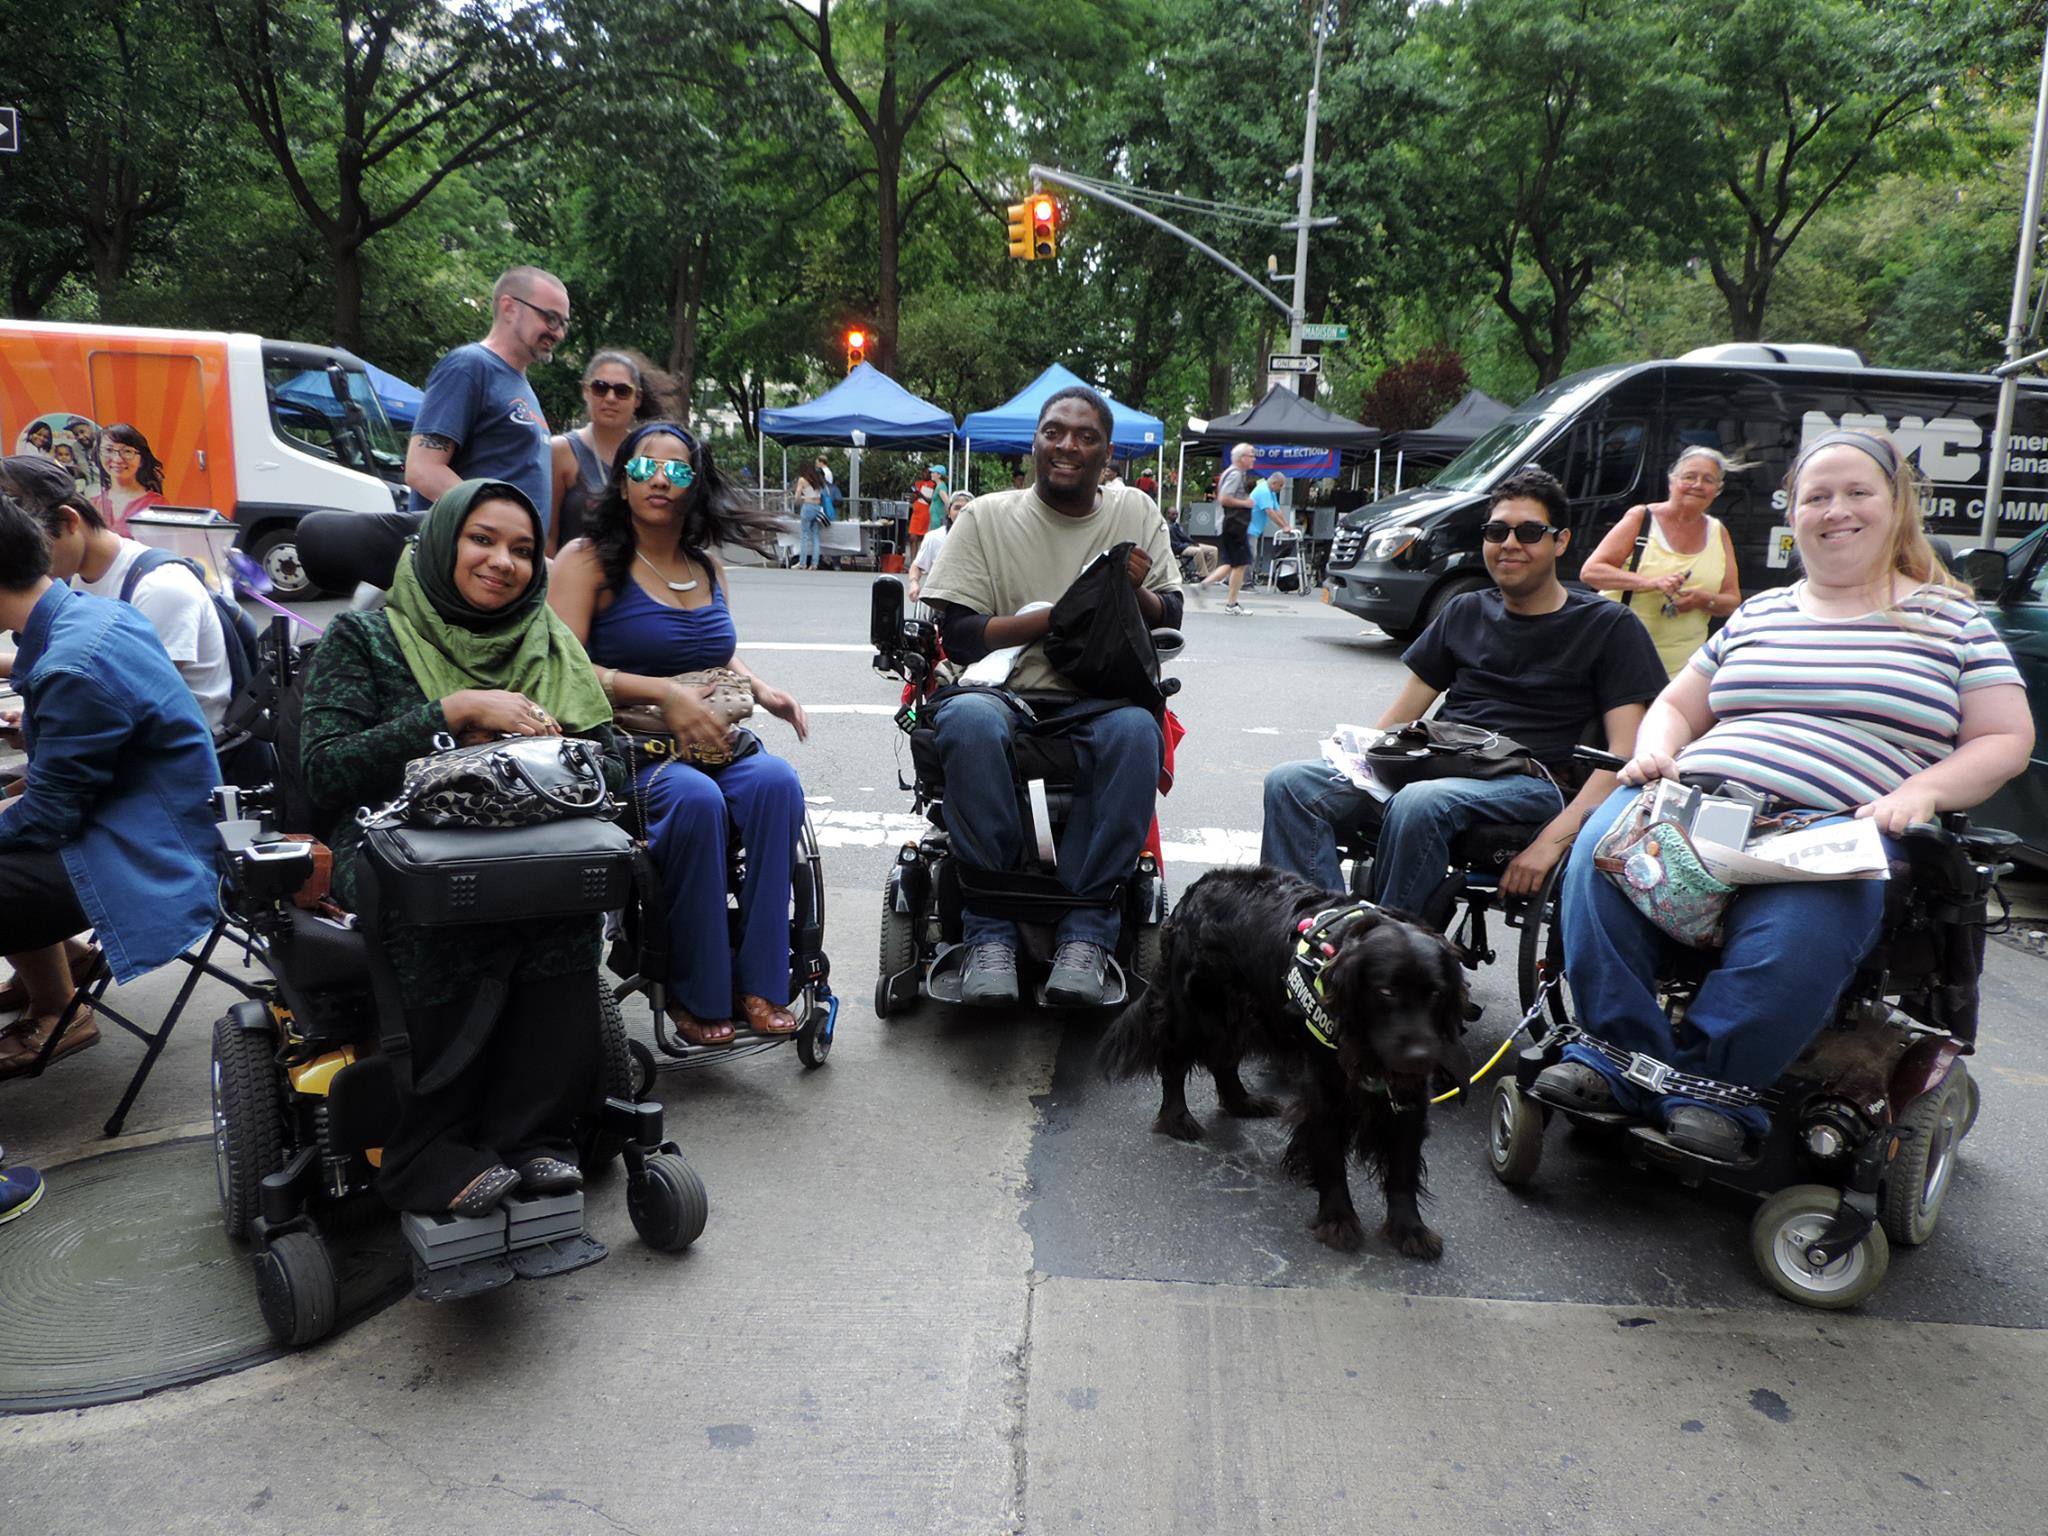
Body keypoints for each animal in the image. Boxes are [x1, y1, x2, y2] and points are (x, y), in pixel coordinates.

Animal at [1105, 868, 1474, 1261]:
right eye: (1385, 991)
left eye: (1435, 993)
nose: (1419, 1056)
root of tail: (1198, 887)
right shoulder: (1325, 1088)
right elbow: (1330, 1154)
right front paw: (1338, 1219)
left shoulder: (1409, 1092)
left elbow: (1403, 1162)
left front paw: (1410, 1228)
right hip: (1199, 1013)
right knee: (1175, 1060)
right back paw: (1177, 1119)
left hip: (1244, 1013)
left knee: (1224, 1062)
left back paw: (1242, 1102)